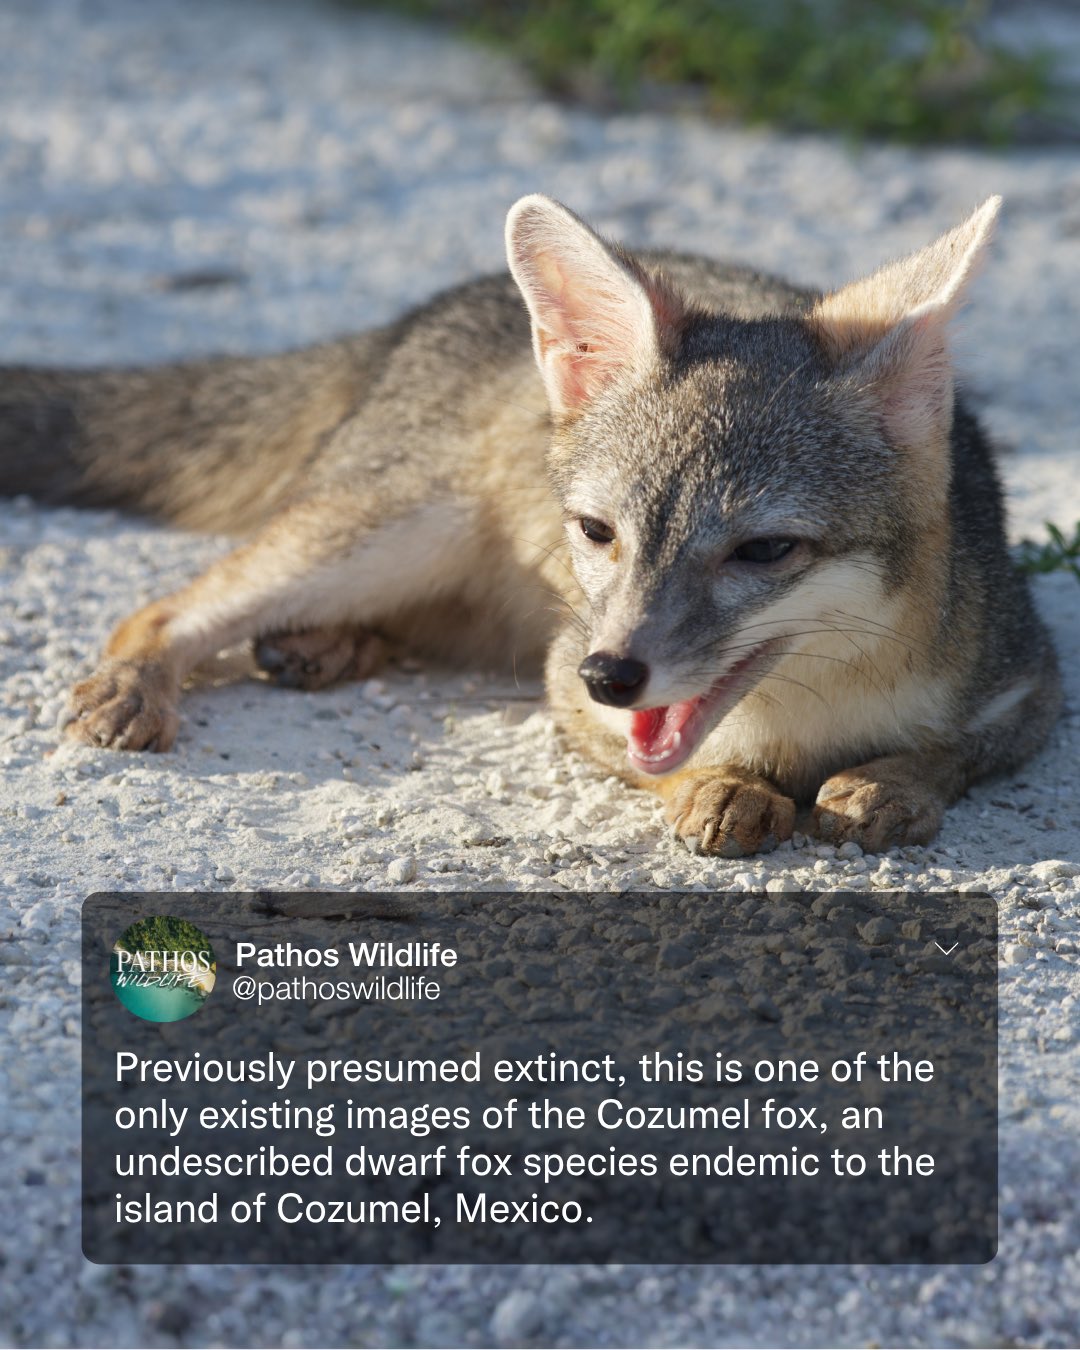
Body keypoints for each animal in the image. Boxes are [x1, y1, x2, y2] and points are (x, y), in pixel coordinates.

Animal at [0, 194, 1061, 857]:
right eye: (596, 532)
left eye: (764, 550)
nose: (613, 674)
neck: (804, 723)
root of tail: (420, 315)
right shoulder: (560, 681)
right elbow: (652, 761)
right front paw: (723, 786)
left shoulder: (1032, 679)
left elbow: (960, 754)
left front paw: (895, 782)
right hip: (384, 536)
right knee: (165, 610)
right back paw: (150, 677)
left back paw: (327, 645)